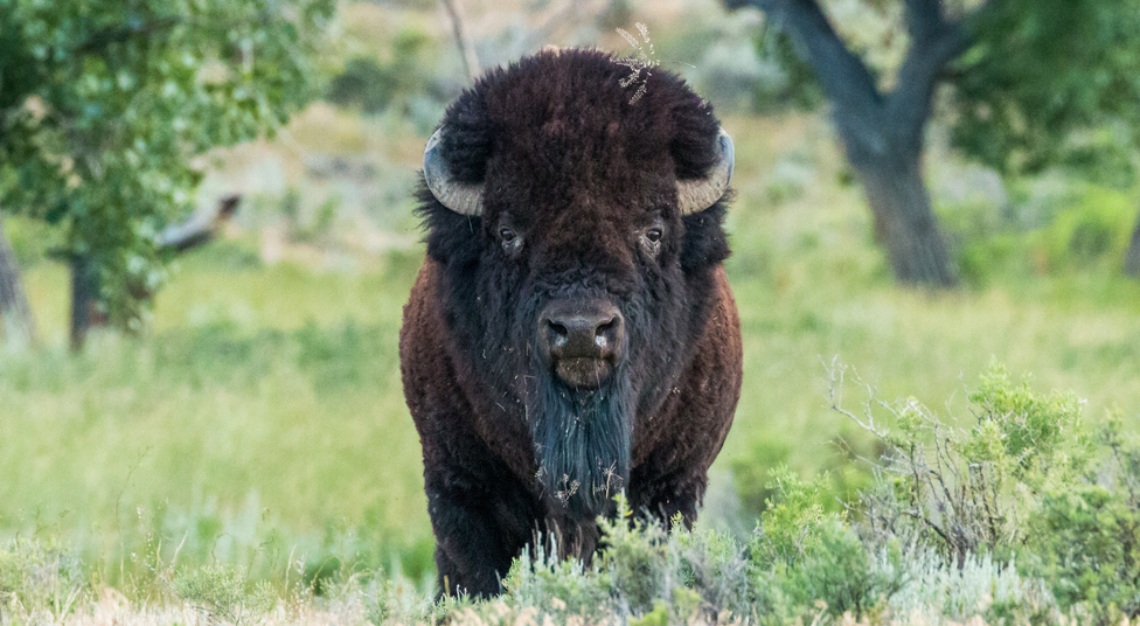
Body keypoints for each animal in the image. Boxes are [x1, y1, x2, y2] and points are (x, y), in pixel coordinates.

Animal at [403, 48, 747, 597]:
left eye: (653, 230)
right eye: (508, 232)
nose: (582, 330)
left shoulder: (671, 485)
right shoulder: (461, 483)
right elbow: (476, 571)